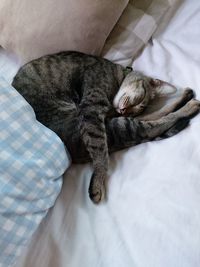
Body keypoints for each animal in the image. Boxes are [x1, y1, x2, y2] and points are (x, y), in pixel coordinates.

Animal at [12, 51, 200, 204]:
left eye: (138, 107)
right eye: (141, 98)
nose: (125, 110)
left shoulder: (102, 112)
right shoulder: (92, 109)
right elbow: (101, 154)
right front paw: (98, 181)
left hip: (116, 125)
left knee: (154, 122)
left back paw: (187, 99)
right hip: (114, 126)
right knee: (153, 124)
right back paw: (189, 104)